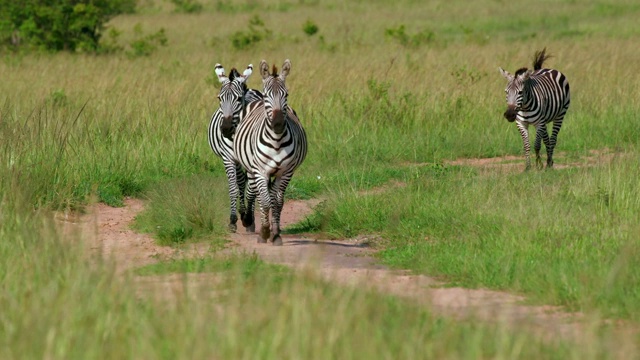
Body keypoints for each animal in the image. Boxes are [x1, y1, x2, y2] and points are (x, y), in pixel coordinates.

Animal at [208, 63, 262, 232]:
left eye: (238, 99)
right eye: (220, 98)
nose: (225, 129)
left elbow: (252, 188)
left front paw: (249, 219)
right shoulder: (228, 158)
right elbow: (234, 187)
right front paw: (233, 219)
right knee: (241, 181)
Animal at [230, 59, 308, 245]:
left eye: (286, 95)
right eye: (267, 96)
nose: (278, 124)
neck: (277, 141)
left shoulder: (285, 172)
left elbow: (277, 202)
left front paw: (276, 234)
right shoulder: (261, 171)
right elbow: (265, 201)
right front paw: (264, 232)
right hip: (253, 169)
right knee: (257, 194)